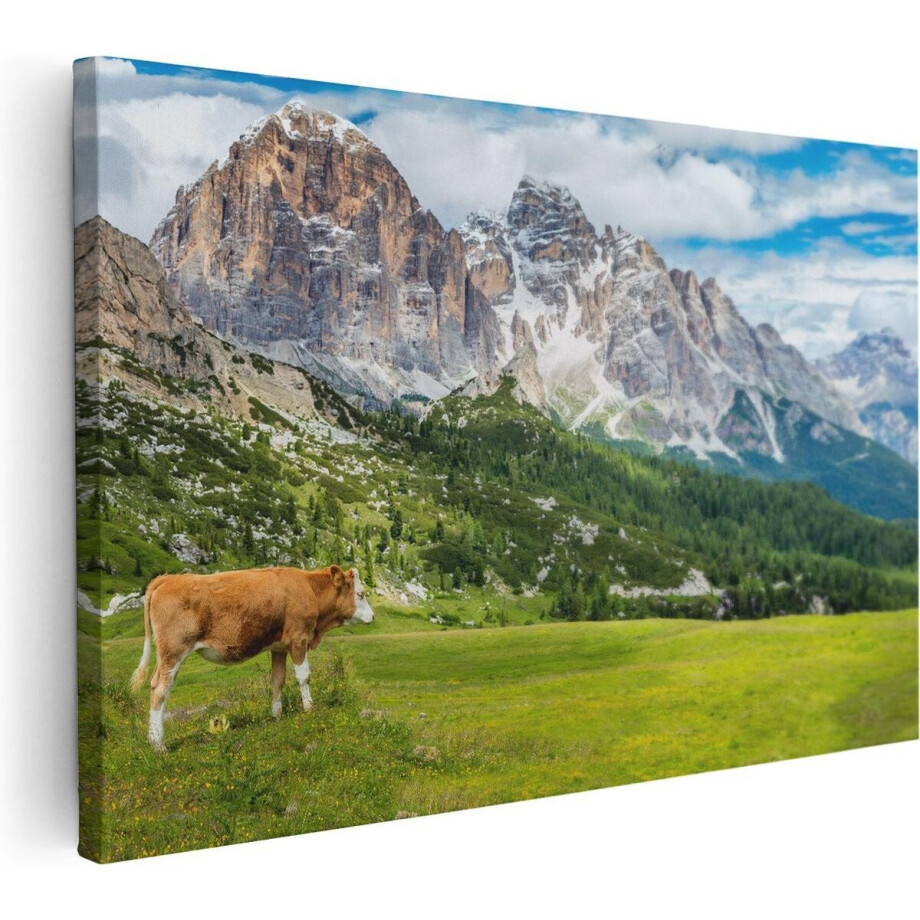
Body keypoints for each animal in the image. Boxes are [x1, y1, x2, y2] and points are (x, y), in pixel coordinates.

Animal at [129, 565, 374, 751]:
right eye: (361, 594)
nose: (373, 616)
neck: (309, 589)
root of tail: (168, 579)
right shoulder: (298, 639)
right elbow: (304, 677)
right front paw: (309, 709)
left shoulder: (279, 647)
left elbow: (278, 679)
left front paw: (276, 714)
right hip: (173, 650)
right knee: (160, 688)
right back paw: (159, 744)